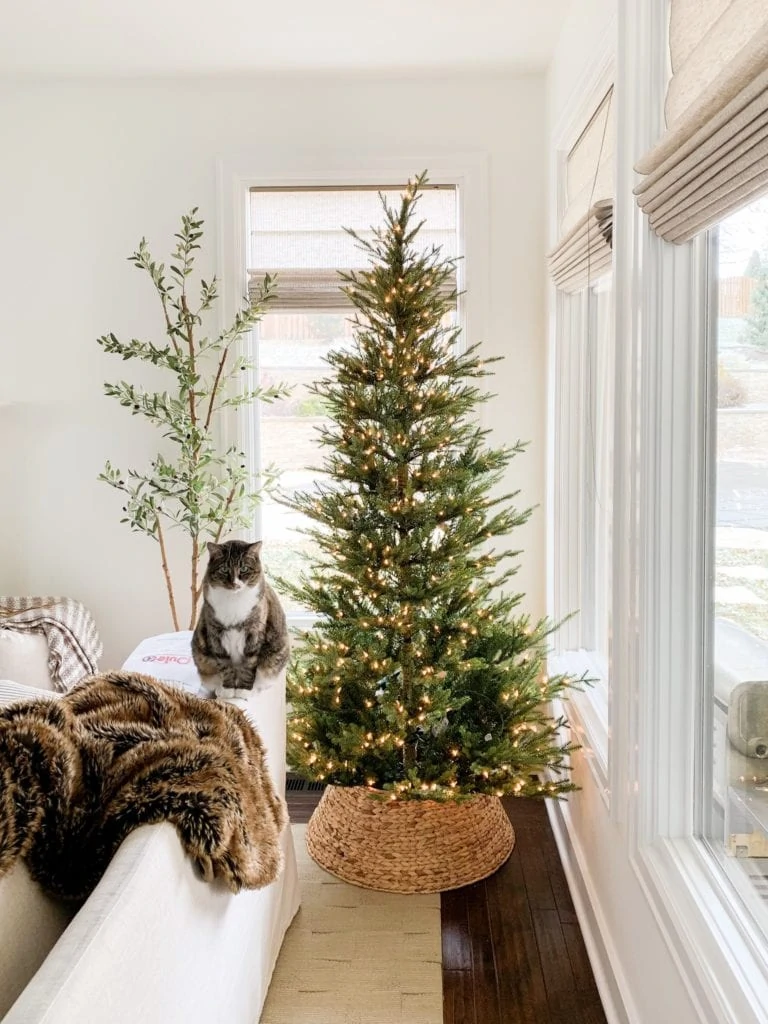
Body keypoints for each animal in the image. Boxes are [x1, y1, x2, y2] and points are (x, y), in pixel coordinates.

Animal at [191, 540, 290, 700]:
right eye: (224, 569)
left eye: (244, 568)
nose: (235, 583)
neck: (234, 599)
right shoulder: (215, 634)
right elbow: (224, 664)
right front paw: (228, 689)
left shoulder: (254, 633)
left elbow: (249, 665)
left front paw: (244, 690)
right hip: (201, 657)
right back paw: (219, 689)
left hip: (277, 654)